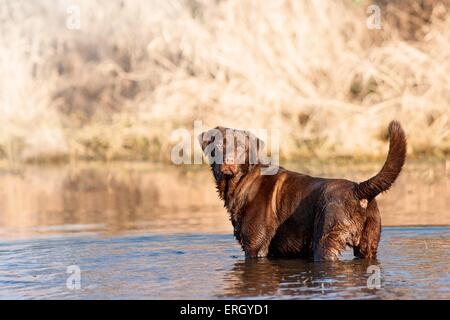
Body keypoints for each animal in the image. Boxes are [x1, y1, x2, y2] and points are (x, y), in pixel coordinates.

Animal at [199, 121, 406, 262]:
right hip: (369, 243)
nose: (229, 162)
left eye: (241, 146)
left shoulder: (255, 247)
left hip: (326, 239)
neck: (241, 182)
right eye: (219, 146)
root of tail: (358, 189)